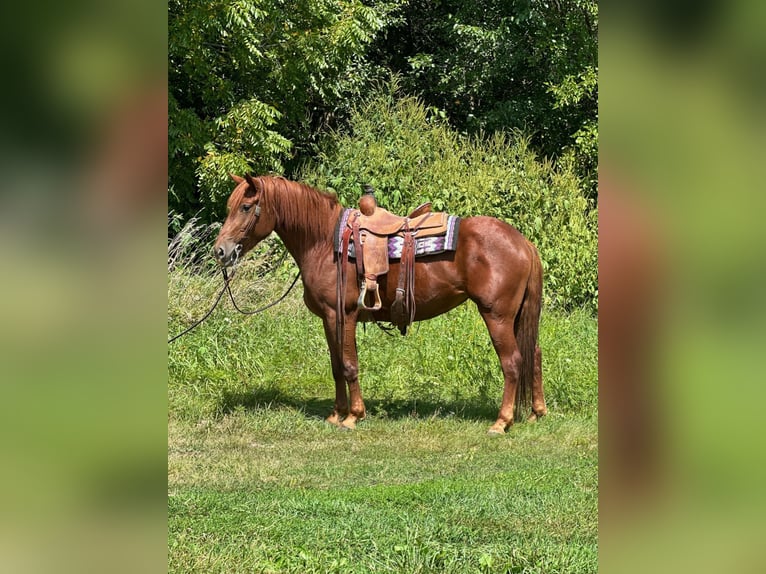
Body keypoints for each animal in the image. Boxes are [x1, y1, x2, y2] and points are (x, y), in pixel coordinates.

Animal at [213, 174, 547, 434]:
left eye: (246, 207)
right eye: (230, 207)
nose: (220, 251)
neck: (323, 241)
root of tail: (523, 243)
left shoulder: (343, 314)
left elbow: (349, 365)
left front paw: (353, 416)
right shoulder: (328, 318)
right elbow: (335, 366)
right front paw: (336, 414)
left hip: (497, 315)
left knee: (512, 362)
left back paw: (501, 422)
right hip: (517, 316)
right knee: (534, 353)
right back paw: (536, 412)